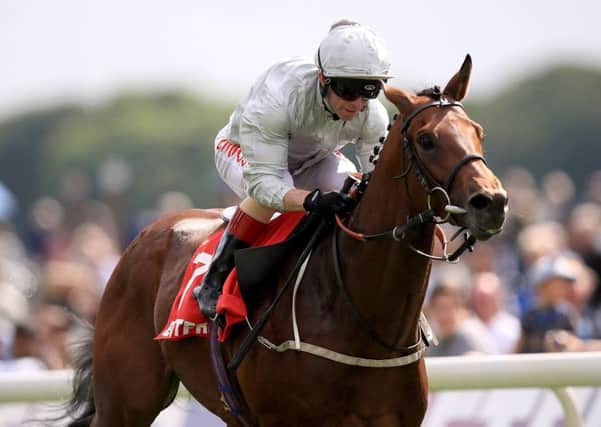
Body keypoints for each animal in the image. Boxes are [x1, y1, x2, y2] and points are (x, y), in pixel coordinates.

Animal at [62, 54, 506, 427]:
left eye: (479, 133)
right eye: (427, 139)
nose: (493, 201)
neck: (364, 319)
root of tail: (144, 236)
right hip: (125, 401)